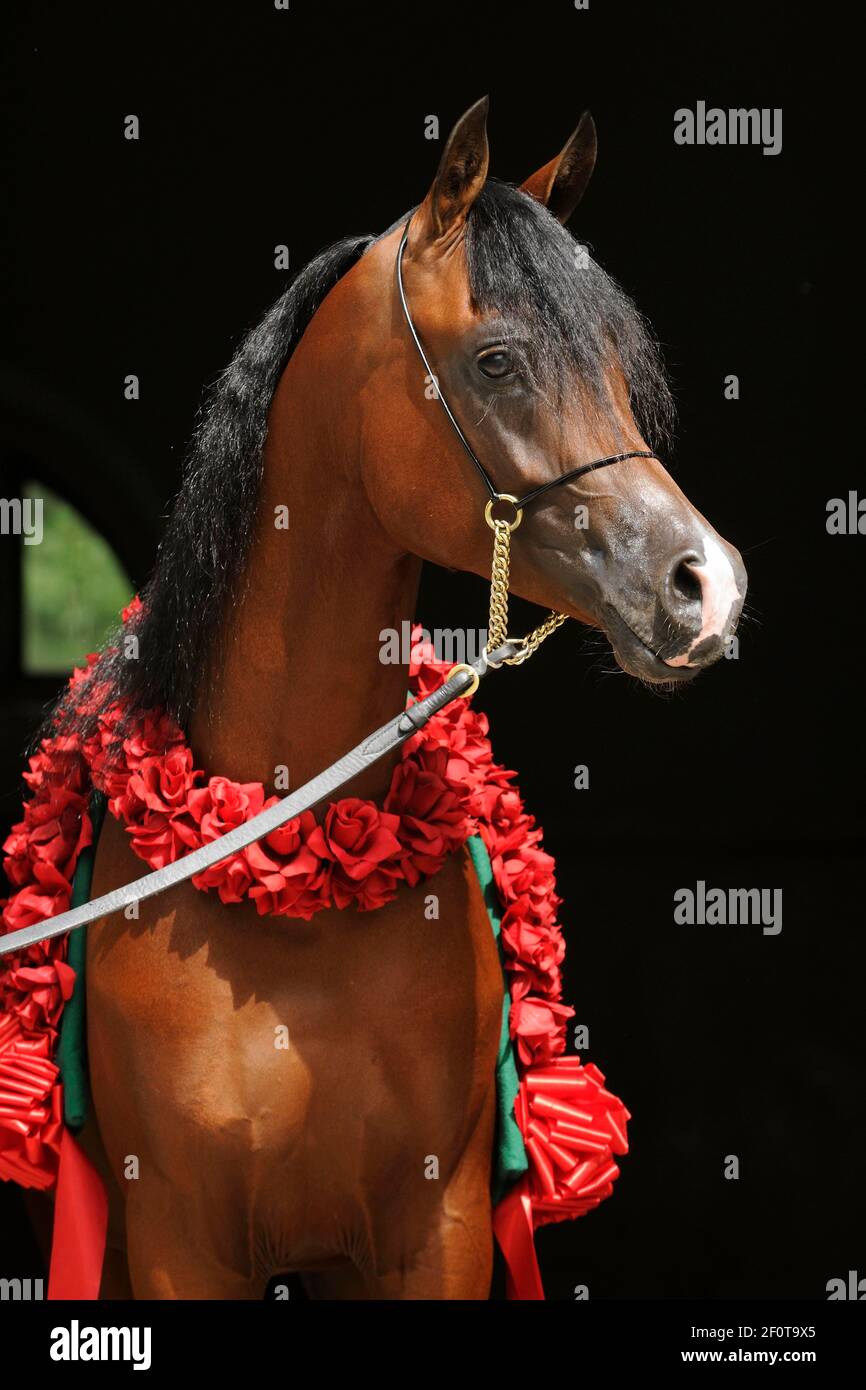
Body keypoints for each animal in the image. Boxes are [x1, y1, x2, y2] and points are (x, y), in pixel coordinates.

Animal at [37, 102, 750, 1295]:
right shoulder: (184, 1240)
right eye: (498, 360)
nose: (704, 583)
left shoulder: (437, 1228)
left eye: (617, 364)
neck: (289, 876)